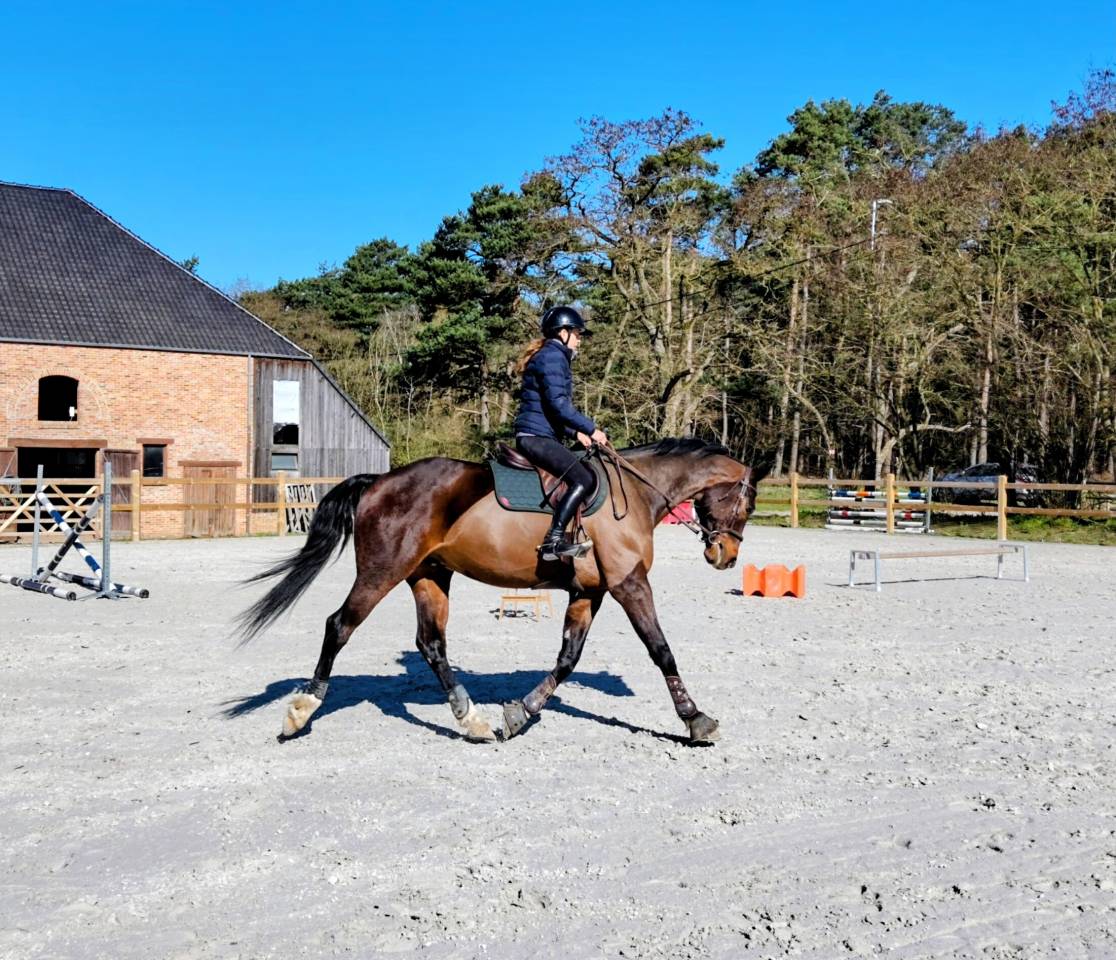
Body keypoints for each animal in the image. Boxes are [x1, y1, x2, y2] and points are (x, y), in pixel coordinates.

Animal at [238, 438, 763, 744]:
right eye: (749, 503)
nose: (726, 556)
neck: (633, 494)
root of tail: (380, 481)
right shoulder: (629, 584)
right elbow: (661, 649)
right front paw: (695, 719)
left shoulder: (588, 593)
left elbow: (567, 659)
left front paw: (520, 713)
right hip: (381, 572)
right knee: (340, 625)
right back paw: (301, 712)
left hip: (429, 575)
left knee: (431, 643)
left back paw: (470, 719)